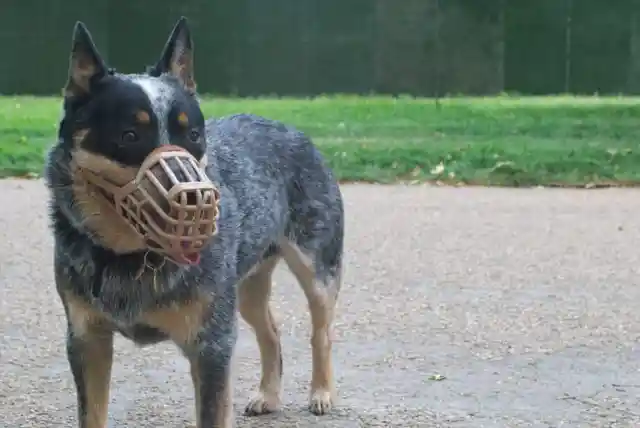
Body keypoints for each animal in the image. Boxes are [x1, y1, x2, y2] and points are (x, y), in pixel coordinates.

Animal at [43, 15, 344, 426]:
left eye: (196, 134)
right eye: (129, 134)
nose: (196, 199)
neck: (131, 258)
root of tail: (293, 130)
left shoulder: (211, 346)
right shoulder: (86, 338)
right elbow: (92, 413)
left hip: (316, 269)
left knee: (321, 331)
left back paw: (322, 392)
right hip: (244, 289)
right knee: (270, 331)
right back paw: (268, 395)